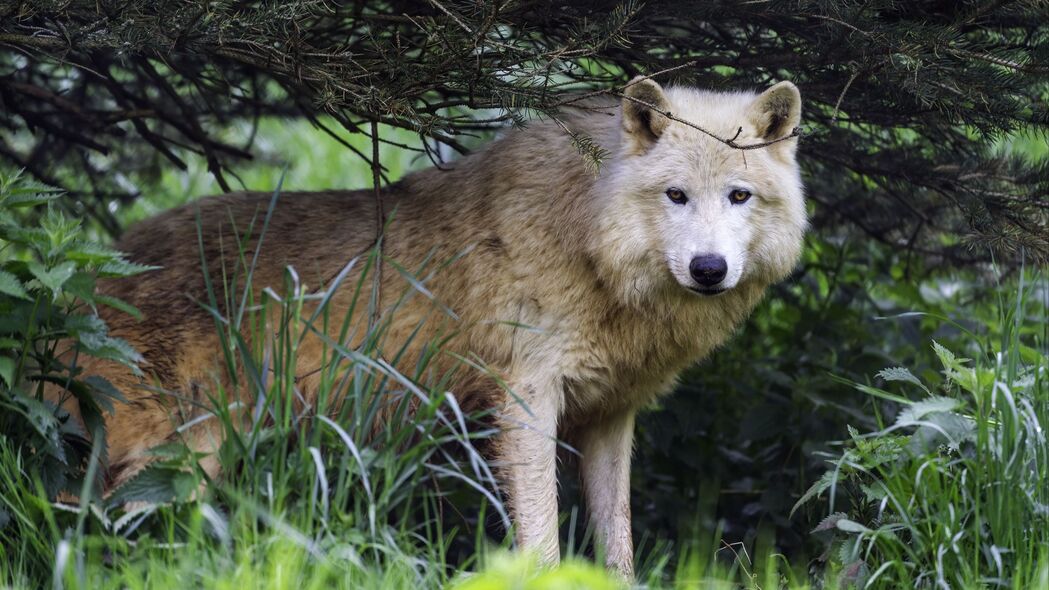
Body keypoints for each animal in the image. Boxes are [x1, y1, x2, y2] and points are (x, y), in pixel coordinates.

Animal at [59, 75, 809, 571]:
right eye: (675, 195)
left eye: (738, 196)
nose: (708, 268)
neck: (588, 237)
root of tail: (91, 269)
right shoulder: (525, 402)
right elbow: (542, 538)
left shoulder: (608, 416)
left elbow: (616, 543)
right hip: (169, 459)